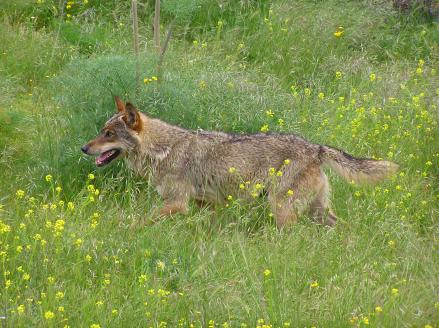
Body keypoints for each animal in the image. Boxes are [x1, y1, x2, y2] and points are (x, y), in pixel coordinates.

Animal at [81, 96, 400, 228]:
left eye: (108, 134)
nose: (84, 148)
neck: (164, 149)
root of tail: (316, 148)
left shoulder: (177, 204)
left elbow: (142, 221)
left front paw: (123, 232)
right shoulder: (205, 206)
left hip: (282, 208)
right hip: (316, 211)